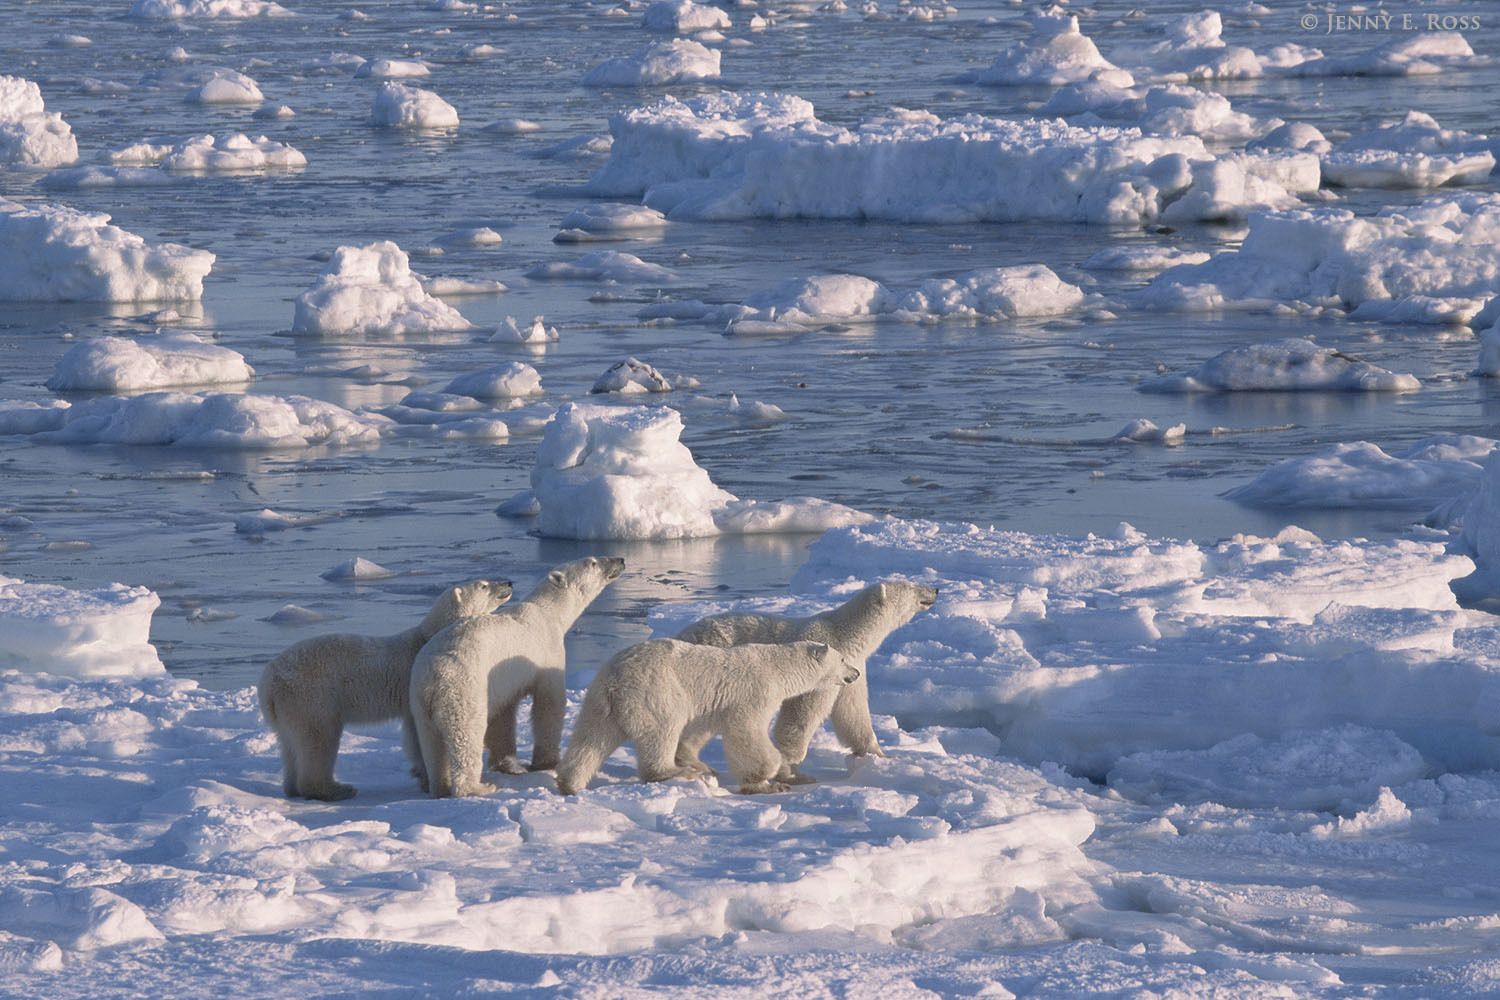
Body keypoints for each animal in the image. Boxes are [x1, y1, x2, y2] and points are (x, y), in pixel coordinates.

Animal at [258, 578, 513, 801]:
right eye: (483, 584)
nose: (508, 582)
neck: (429, 635)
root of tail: (268, 683)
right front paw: (426, 777)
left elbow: (412, 733)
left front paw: (420, 773)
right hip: (311, 697)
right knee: (319, 738)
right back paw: (336, 789)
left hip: (287, 708)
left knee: (290, 744)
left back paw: (293, 787)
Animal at [408, 556, 625, 797]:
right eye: (593, 562)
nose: (620, 560)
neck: (548, 613)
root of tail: (432, 675)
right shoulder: (546, 653)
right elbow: (548, 704)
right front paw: (547, 762)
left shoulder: (503, 679)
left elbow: (504, 715)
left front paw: (507, 763)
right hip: (462, 689)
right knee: (466, 734)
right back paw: (478, 787)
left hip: (419, 703)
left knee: (431, 743)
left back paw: (440, 786)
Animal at [554, 638, 859, 796]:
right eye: (843, 659)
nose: (855, 673)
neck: (778, 668)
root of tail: (616, 678)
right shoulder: (754, 693)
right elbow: (746, 730)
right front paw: (769, 780)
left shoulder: (713, 705)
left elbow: (699, 729)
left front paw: (700, 762)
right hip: (655, 691)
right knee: (662, 730)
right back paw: (676, 772)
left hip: (600, 699)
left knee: (591, 737)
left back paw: (569, 783)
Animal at [672, 581, 937, 783]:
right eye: (910, 586)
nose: (935, 589)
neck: (844, 633)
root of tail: (681, 633)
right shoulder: (820, 670)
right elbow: (801, 716)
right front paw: (792, 771)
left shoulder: (852, 667)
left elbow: (853, 712)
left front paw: (880, 756)